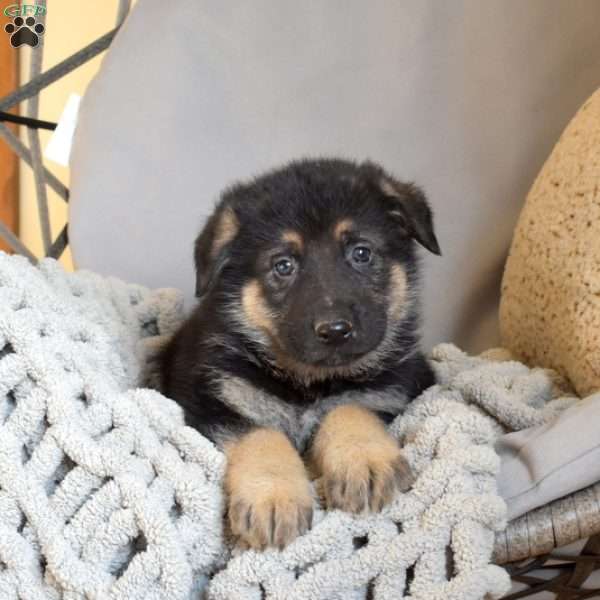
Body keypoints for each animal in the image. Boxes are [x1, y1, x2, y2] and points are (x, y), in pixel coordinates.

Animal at [161, 158, 440, 548]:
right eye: (283, 265)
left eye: (362, 253)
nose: (335, 330)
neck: (308, 383)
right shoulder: (210, 402)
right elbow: (263, 435)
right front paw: (273, 496)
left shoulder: (396, 389)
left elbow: (350, 407)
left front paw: (363, 458)